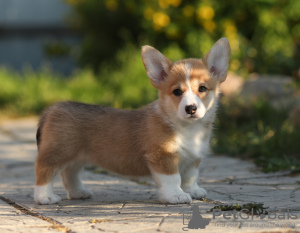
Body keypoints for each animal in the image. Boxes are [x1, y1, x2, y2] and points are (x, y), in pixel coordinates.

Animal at [34, 37, 231, 205]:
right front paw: (176, 195)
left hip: (77, 157)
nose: (190, 108)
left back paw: (78, 193)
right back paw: (45, 197)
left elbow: (190, 176)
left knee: (70, 173)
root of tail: (52, 108)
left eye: (202, 88)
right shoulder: (162, 157)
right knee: (44, 170)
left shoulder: (193, 158)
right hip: (57, 153)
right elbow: (173, 178)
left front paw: (193, 191)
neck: (187, 128)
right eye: (177, 92)